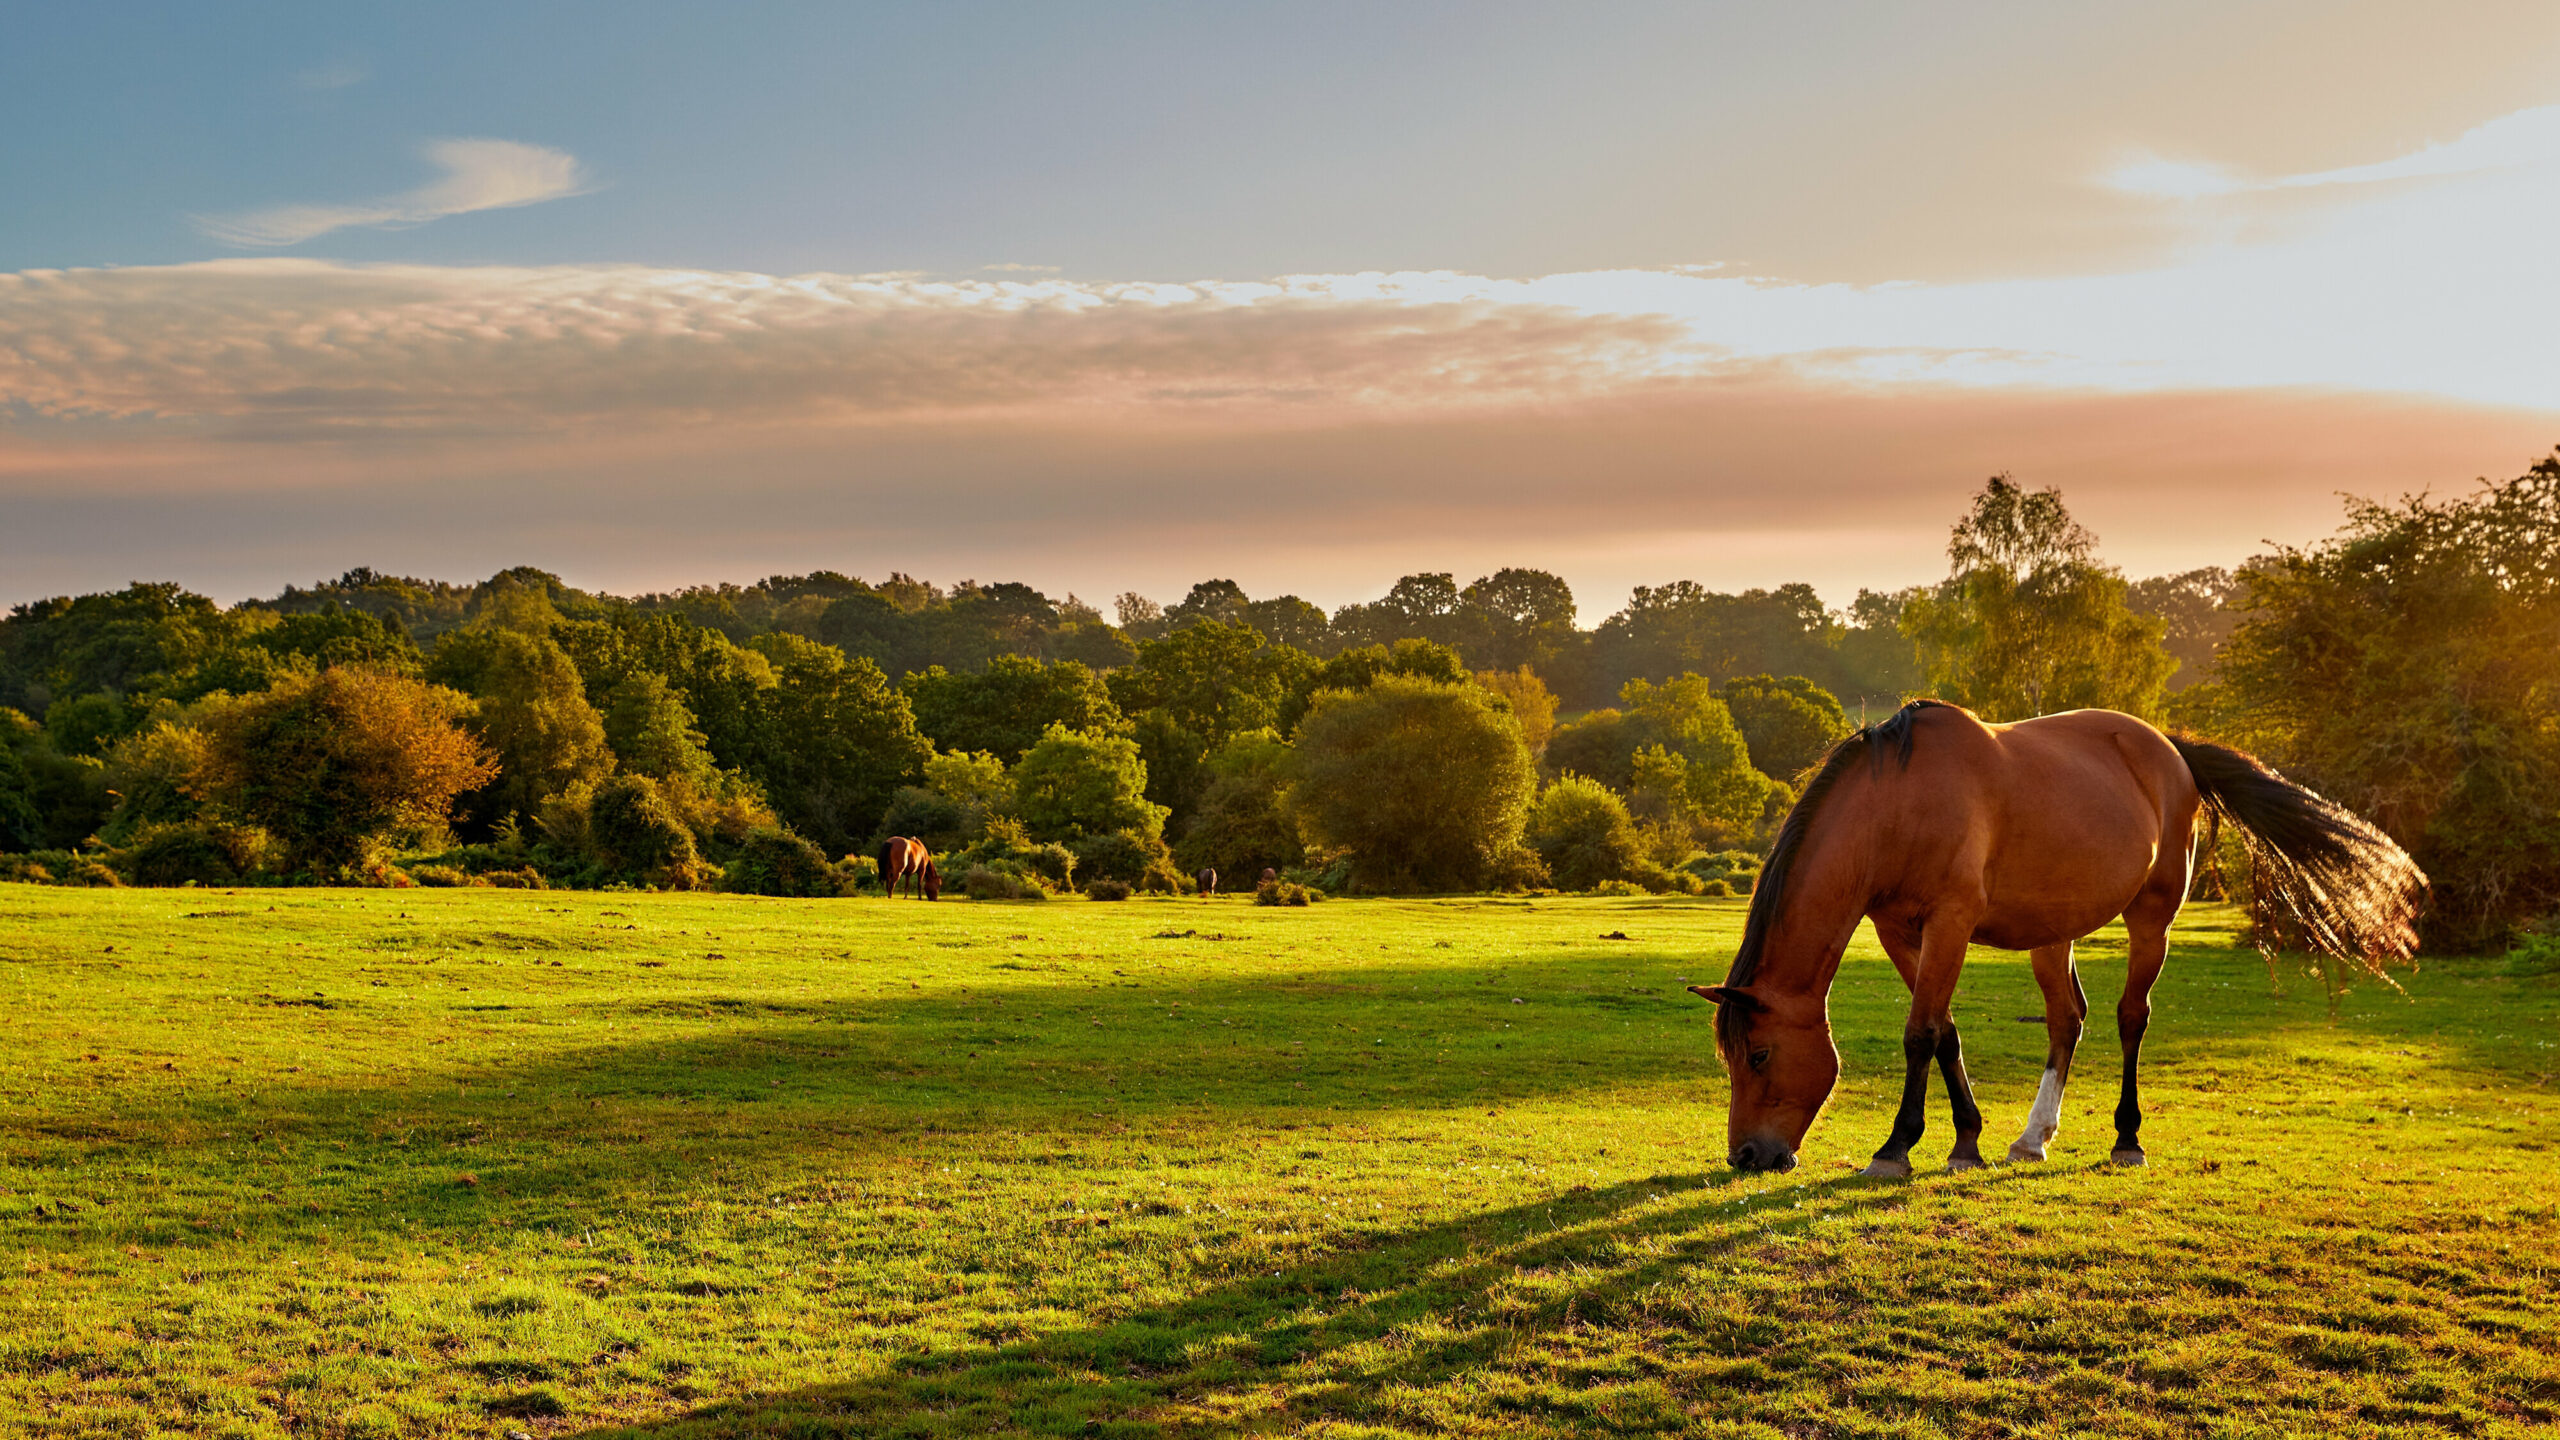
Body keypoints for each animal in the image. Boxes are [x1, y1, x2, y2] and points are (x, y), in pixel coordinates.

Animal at [1688, 701, 2424, 1178]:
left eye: (1758, 1054)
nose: (1747, 1156)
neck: (1897, 804)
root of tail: (2170, 748)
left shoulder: (1951, 924)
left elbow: (1920, 1033)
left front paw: (1896, 1149)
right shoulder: (1900, 931)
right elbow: (1946, 1031)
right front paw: (1966, 1143)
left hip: (2151, 918)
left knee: (2131, 1017)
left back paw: (2127, 1138)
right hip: (2054, 932)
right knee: (2067, 1019)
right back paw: (2032, 1138)